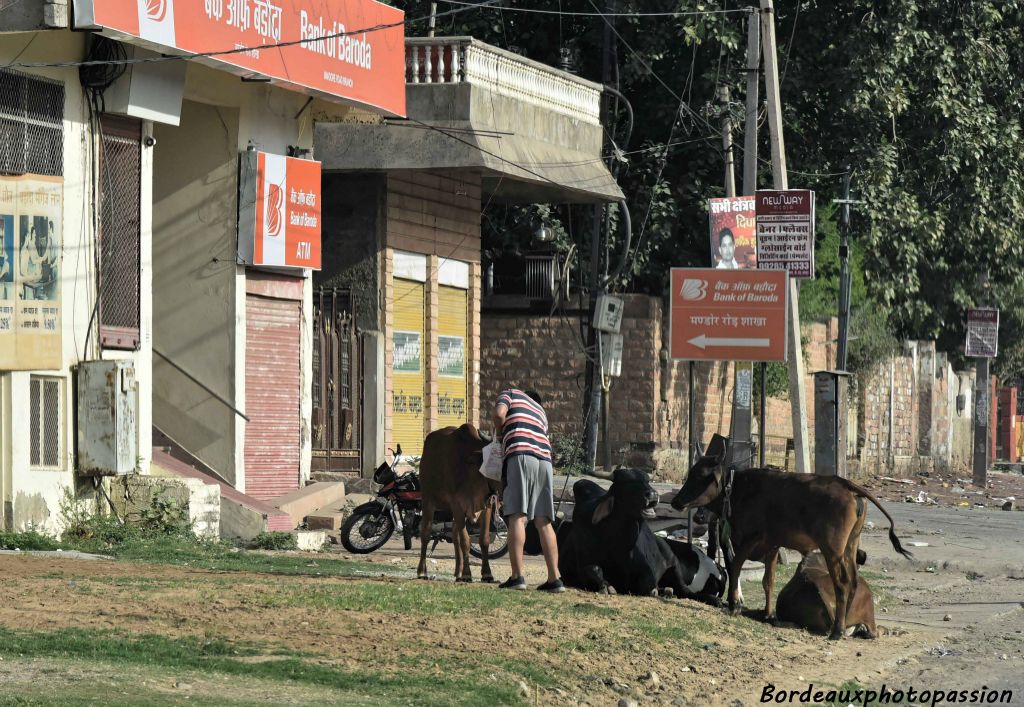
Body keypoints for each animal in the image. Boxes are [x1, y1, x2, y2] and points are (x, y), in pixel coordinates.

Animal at [413, 424, 497, 577]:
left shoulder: (487, 504)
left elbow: (484, 540)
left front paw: (487, 573)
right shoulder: (457, 504)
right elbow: (465, 541)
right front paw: (467, 574)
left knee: (454, 534)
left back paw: (458, 571)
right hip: (428, 499)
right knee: (426, 532)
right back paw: (422, 571)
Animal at [561, 467, 720, 598]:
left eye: (647, 480)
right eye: (626, 481)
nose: (653, 495)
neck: (619, 546)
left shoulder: (647, 572)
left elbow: (647, 584)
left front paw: (655, 590)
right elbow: (592, 569)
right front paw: (606, 586)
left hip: (673, 563)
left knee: (685, 590)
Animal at [671, 442, 913, 643]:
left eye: (702, 475)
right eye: (691, 472)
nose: (676, 501)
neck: (739, 490)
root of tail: (847, 485)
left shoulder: (748, 539)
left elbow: (736, 568)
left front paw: (734, 606)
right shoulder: (771, 545)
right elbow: (768, 581)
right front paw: (767, 614)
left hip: (832, 549)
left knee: (842, 583)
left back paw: (837, 631)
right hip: (850, 546)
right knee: (853, 581)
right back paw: (844, 624)